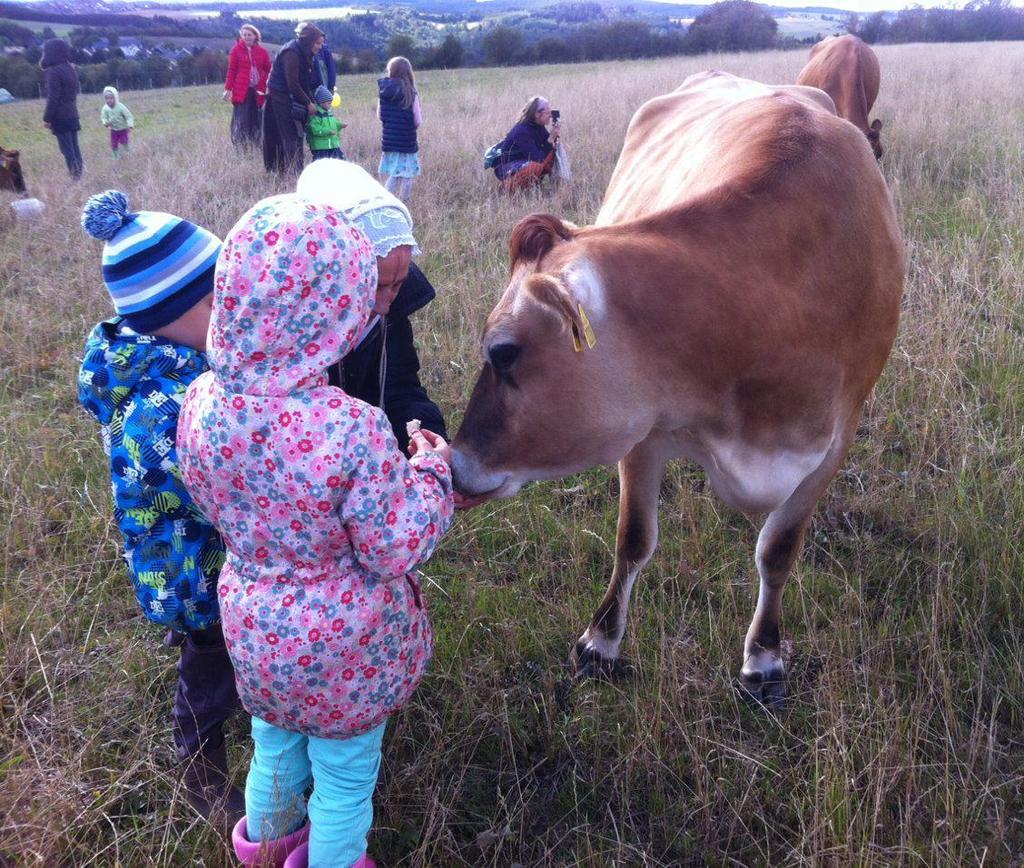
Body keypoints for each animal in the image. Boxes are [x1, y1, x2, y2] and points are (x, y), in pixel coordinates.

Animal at [452, 71, 901, 700]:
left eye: (503, 351)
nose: (453, 463)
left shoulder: (835, 441)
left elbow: (778, 550)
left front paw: (764, 658)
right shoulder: (644, 432)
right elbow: (634, 539)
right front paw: (600, 643)